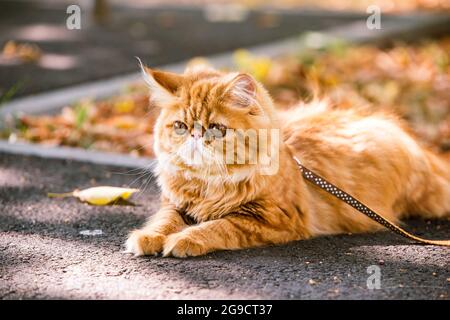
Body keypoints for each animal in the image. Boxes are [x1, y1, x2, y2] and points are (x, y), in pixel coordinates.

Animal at [124, 65, 450, 258]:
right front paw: (147, 238)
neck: (209, 183)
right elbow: (163, 222)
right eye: (180, 126)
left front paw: (184, 240)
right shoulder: (175, 205)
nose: (194, 136)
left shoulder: (270, 218)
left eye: (216, 128)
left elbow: (217, 226)